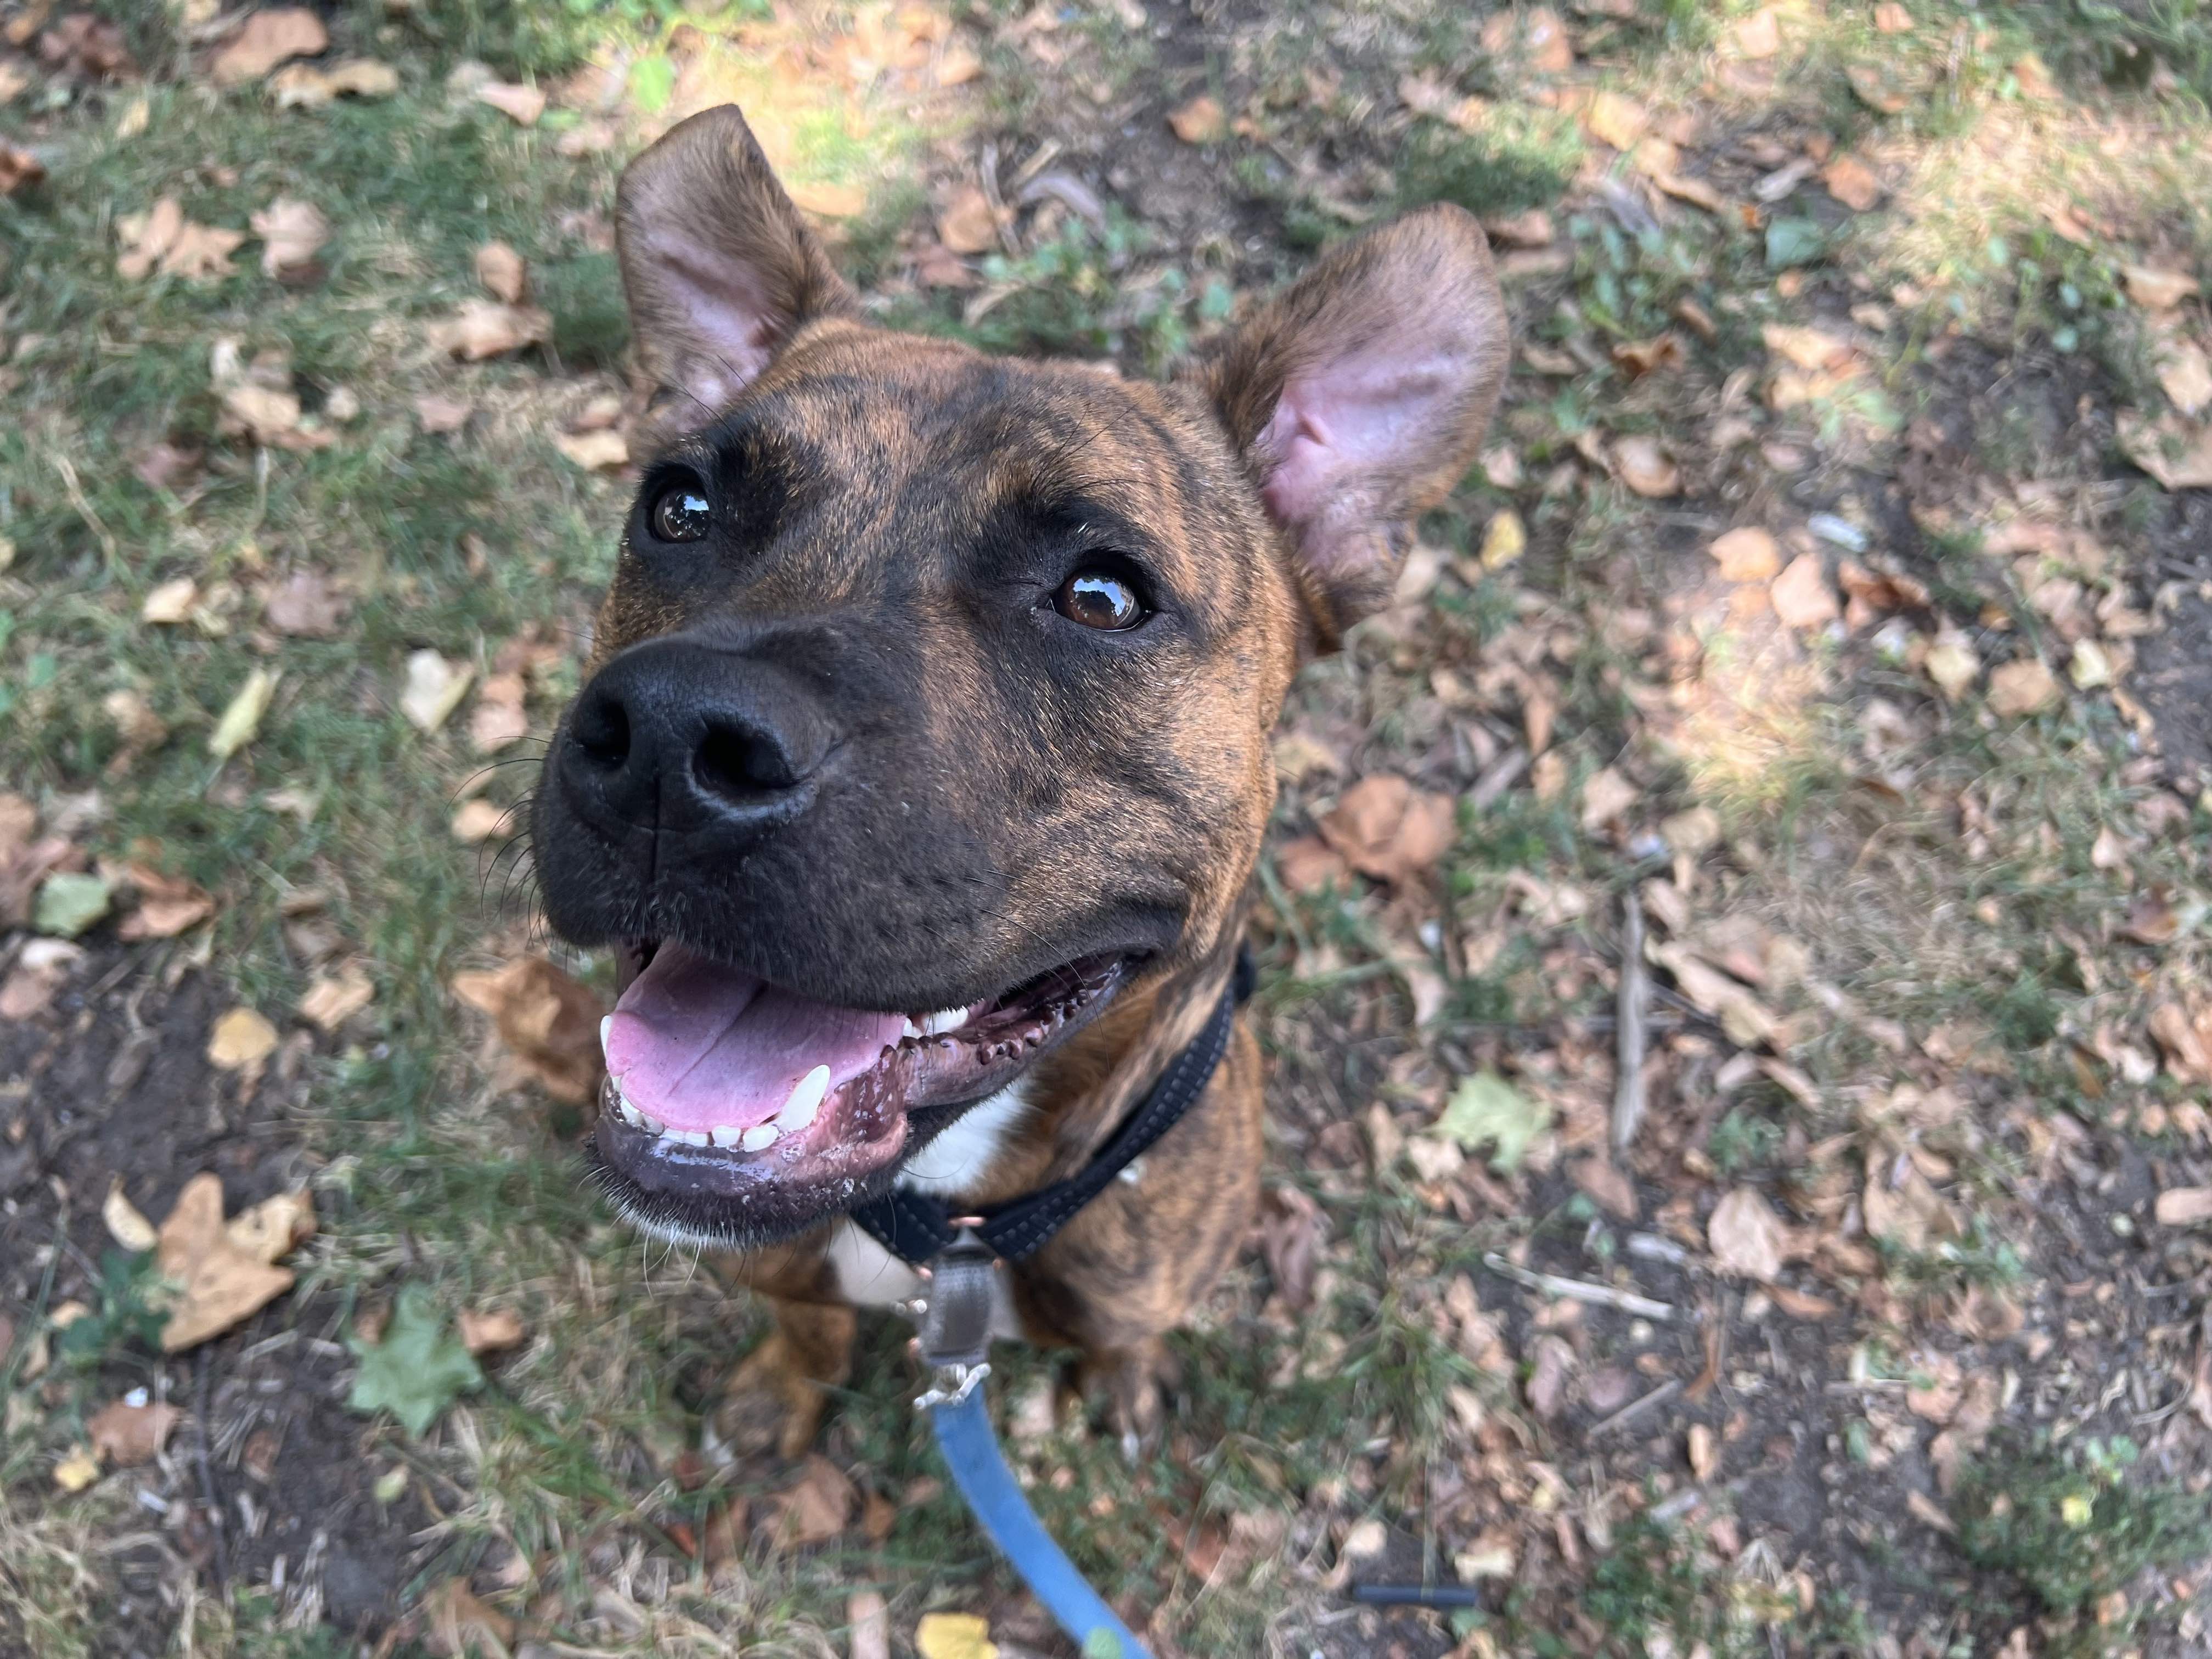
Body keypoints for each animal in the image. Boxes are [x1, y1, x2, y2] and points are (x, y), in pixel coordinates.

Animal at [528, 100, 1513, 1451]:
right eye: (677, 507)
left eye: (1102, 595)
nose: (672, 743)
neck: (945, 1225)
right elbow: (801, 1323)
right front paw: (780, 1387)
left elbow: (1123, 1334)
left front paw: (1123, 1383)